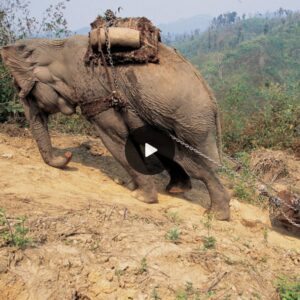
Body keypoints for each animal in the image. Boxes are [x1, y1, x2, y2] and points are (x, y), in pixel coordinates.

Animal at [1, 34, 231, 220]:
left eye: (24, 92)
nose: (67, 155)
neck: (55, 45)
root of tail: (213, 98)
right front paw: (130, 186)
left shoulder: (97, 92)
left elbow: (114, 137)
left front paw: (140, 197)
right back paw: (177, 190)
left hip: (192, 121)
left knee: (192, 160)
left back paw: (216, 214)